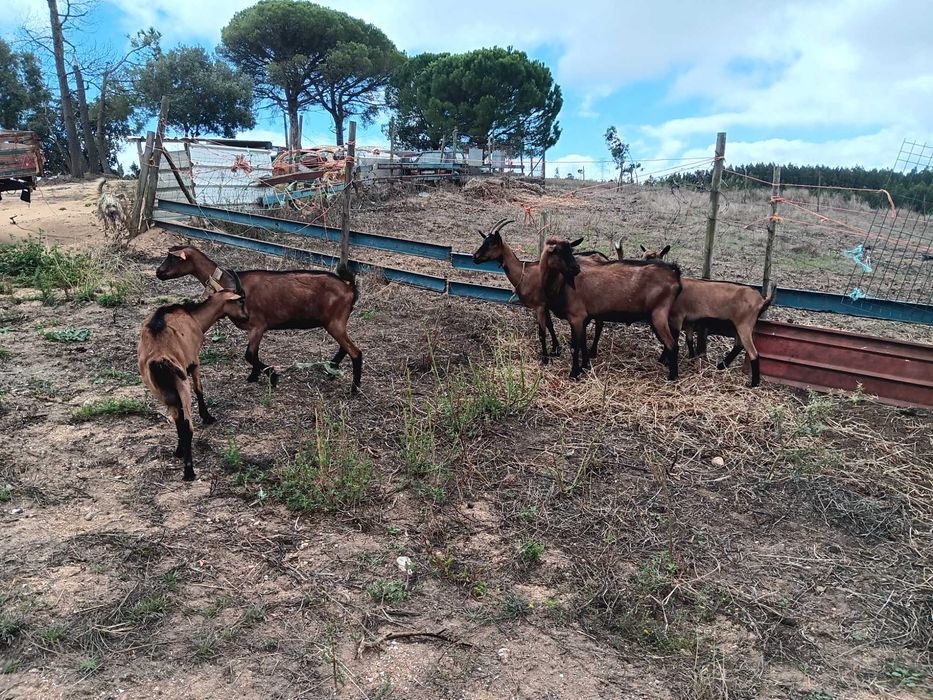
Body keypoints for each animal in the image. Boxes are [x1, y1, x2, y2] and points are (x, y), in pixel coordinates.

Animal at [138, 290, 247, 481]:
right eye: (240, 301)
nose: (247, 317)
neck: (193, 317)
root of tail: (158, 360)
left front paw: (179, 448)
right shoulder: (195, 361)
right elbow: (199, 389)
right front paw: (207, 417)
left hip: (160, 391)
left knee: (178, 419)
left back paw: (180, 451)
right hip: (181, 382)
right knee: (188, 425)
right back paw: (189, 471)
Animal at [156, 245, 362, 393]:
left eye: (173, 258)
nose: (158, 272)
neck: (228, 283)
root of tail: (350, 289)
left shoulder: (258, 325)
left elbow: (249, 354)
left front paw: (272, 376)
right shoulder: (253, 329)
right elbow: (253, 354)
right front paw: (254, 376)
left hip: (334, 321)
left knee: (355, 352)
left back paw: (354, 388)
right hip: (335, 323)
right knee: (345, 347)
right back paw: (332, 369)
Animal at [471, 220, 608, 363]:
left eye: (492, 243)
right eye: (484, 241)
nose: (475, 257)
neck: (524, 273)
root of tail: (602, 256)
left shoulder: (539, 306)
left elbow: (542, 333)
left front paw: (545, 358)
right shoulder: (546, 305)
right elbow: (550, 326)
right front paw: (555, 349)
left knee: (599, 323)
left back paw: (592, 352)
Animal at [540, 237, 682, 380]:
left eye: (570, 250)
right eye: (557, 251)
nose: (576, 269)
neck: (562, 285)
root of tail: (674, 274)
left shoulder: (576, 317)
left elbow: (575, 347)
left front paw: (574, 373)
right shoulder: (583, 318)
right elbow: (583, 344)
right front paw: (584, 366)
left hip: (658, 314)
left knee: (673, 345)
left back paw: (672, 377)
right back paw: (663, 362)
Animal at [626, 243, 776, 386]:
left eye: (652, 258)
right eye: (642, 255)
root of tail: (762, 300)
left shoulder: (677, 317)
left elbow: (674, 338)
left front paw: (663, 361)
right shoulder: (689, 320)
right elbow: (689, 339)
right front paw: (692, 358)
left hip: (745, 323)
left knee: (753, 352)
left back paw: (754, 383)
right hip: (738, 324)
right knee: (739, 345)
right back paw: (721, 366)